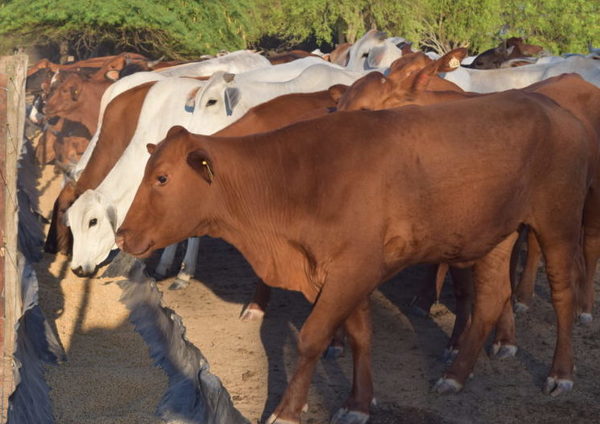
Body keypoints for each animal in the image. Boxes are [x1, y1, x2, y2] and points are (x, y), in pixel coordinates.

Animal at [116, 88, 592, 420]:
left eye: (161, 178)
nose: (123, 234)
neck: (298, 178)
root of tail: (554, 107)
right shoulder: (348, 271)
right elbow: (361, 333)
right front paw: (360, 402)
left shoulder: (351, 271)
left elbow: (312, 337)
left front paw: (288, 410)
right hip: (496, 237)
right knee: (492, 299)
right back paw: (455, 376)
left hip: (557, 224)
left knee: (563, 295)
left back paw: (561, 374)